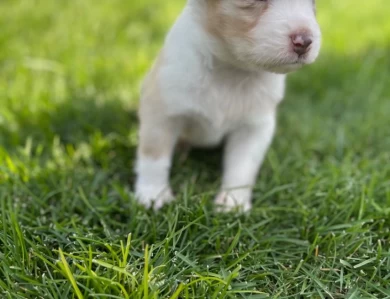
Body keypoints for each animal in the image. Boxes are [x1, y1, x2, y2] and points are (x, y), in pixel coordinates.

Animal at [134, 0, 320, 212]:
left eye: (313, 2)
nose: (304, 41)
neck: (231, 70)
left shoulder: (254, 127)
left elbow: (243, 165)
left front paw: (233, 202)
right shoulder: (161, 113)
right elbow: (154, 157)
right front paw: (153, 194)